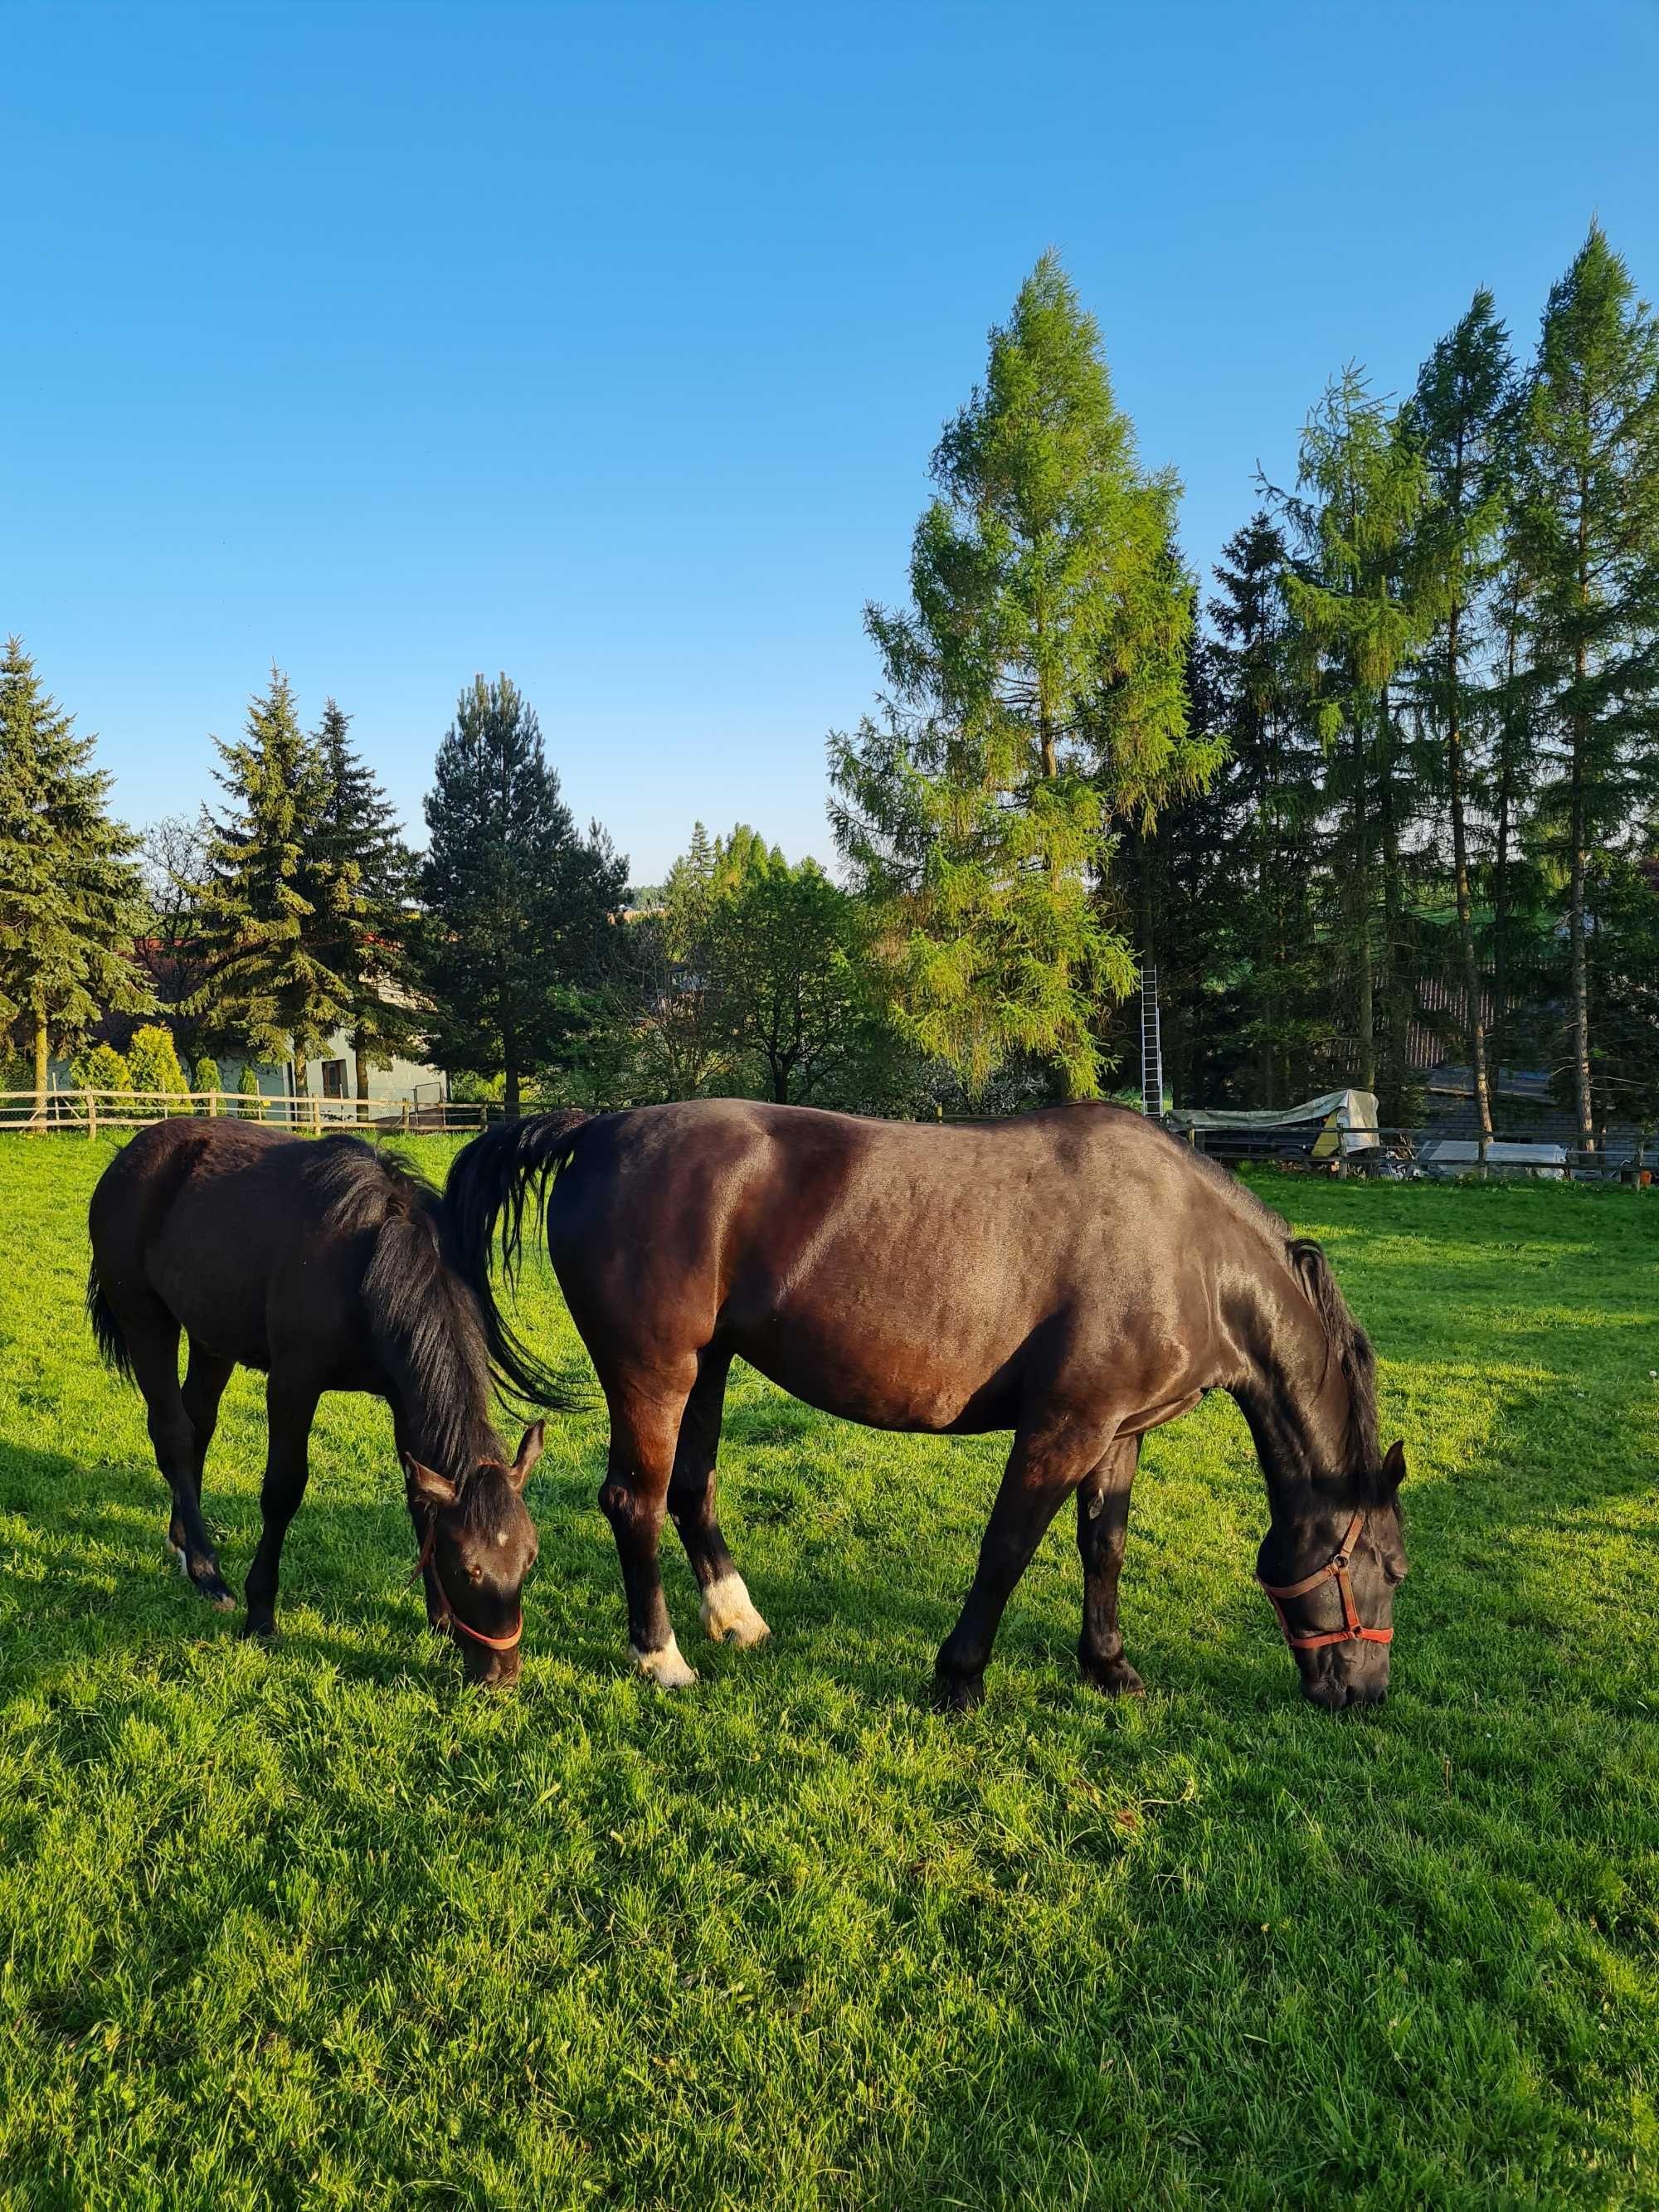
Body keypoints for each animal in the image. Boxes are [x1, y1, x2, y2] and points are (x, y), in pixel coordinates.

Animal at [90, 1115, 546, 1680]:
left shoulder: (403, 1400)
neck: (372, 1260)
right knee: (172, 1434)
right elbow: (282, 1492)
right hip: (144, 1320)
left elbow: (419, 1497)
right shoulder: (293, 1386)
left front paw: (438, 1617)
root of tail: (126, 1156)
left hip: (211, 1340)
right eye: (468, 1568)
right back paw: (206, 1568)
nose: (500, 1674)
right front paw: (261, 1610)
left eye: (529, 1558)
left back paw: (183, 1542)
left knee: (197, 1426)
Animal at [449, 1101, 1407, 1707]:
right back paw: (662, 1658)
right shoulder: (1062, 1428)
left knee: (691, 1490)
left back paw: (737, 1619)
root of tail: (596, 1130)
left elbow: (1104, 1547)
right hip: (653, 1373)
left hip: (710, 1365)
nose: (1361, 1694)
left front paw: (1107, 1667)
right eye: (1393, 1570)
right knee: (635, 1501)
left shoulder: (1116, 1432)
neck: (1188, 1250)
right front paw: (959, 1675)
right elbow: (1008, 1548)